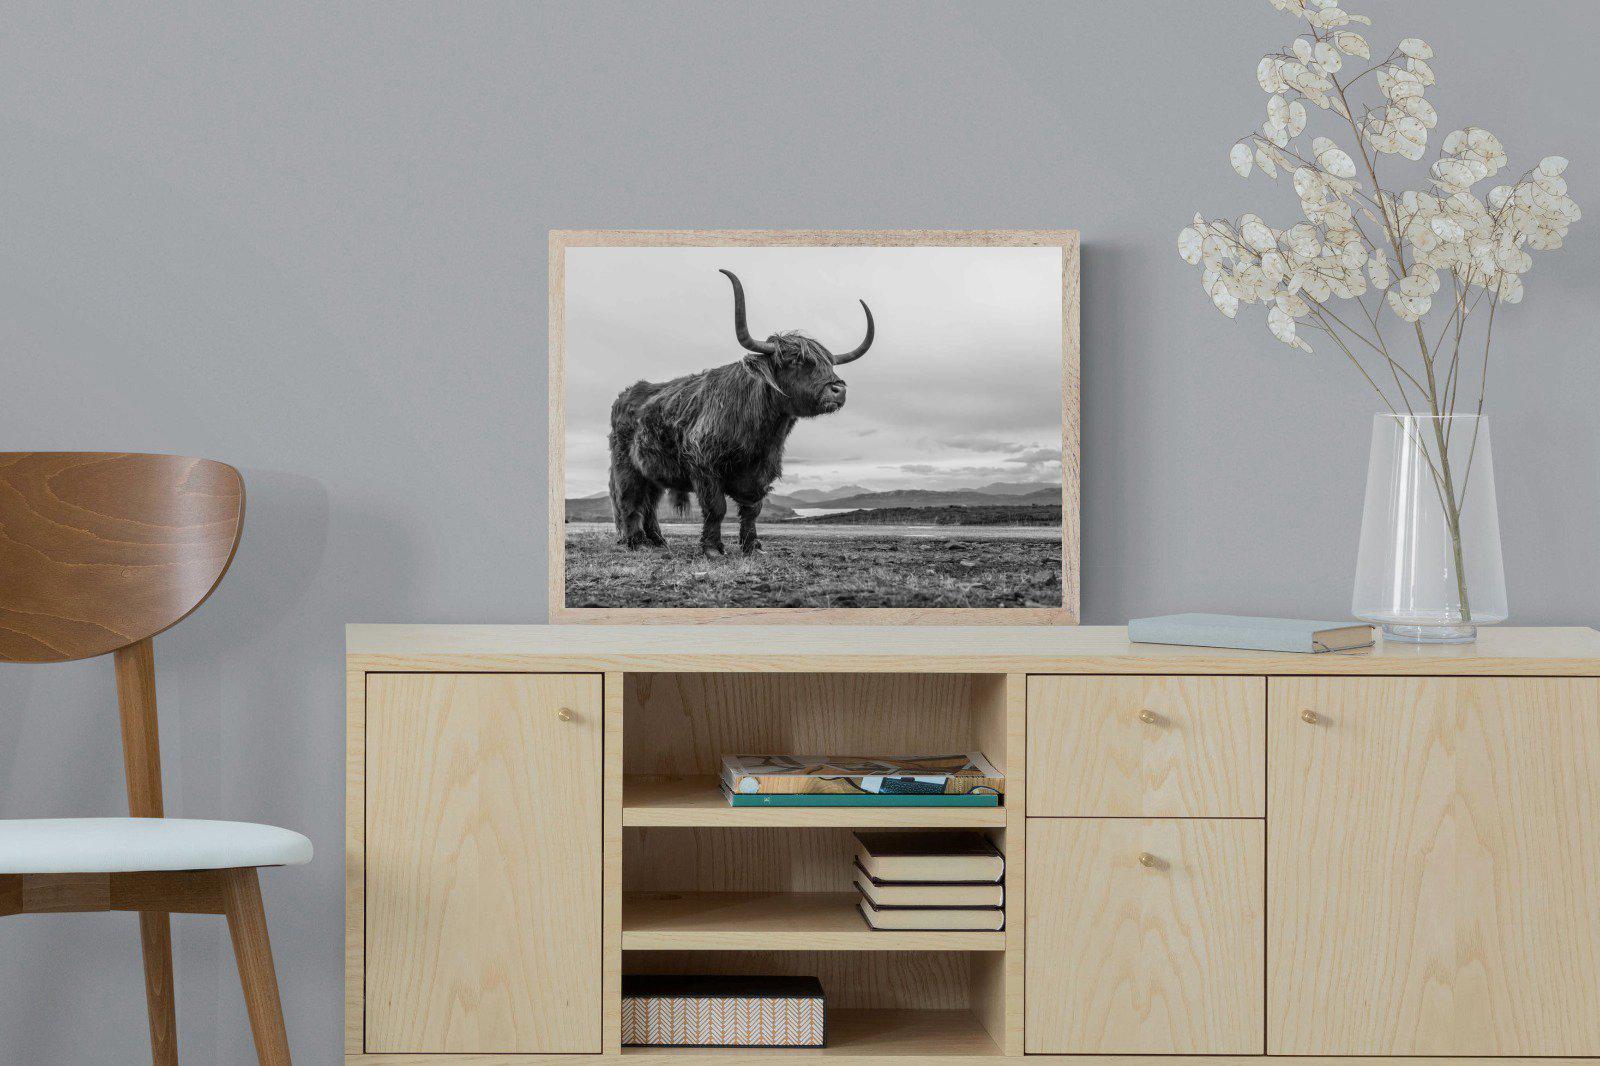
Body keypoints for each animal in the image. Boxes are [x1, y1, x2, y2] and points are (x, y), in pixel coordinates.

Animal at [607, 269, 874, 557]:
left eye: (830, 363)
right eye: (795, 360)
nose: (838, 389)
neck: (761, 434)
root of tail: (626, 394)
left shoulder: (761, 472)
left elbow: (751, 509)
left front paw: (752, 546)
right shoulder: (704, 465)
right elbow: (716, 508)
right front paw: (712, 548)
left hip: (652, 471)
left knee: (650, 503)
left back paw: (657, 540)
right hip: (627, 466)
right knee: (629, 498)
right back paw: (635, 541)